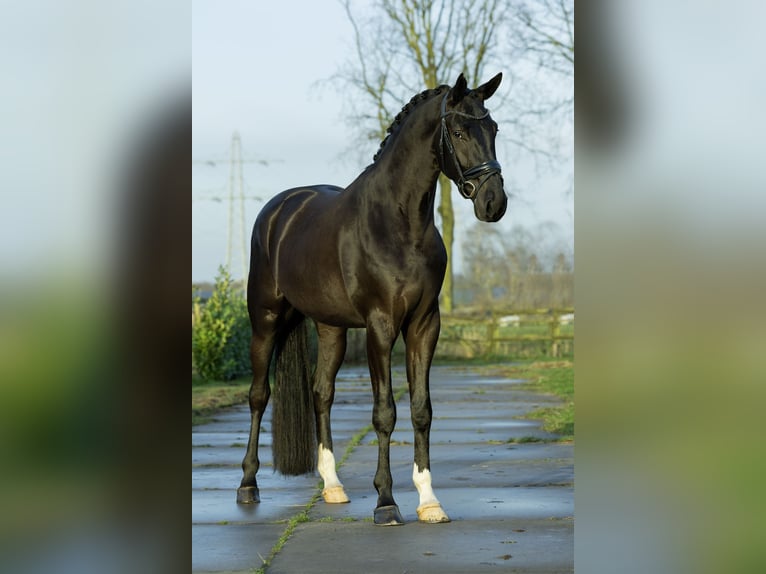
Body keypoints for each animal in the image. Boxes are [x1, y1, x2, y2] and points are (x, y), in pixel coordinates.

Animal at [237, 74, 508, 528]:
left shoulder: (424, 324)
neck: (399, 223)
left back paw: (333, 486)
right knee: (259, 395)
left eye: (494, 129)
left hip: (331, 328)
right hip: (266, 319)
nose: (494, 203)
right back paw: (247, 484)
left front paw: (429, 500)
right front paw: (386, 502)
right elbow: (385, 412)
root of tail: (279, 210)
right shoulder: (381, 325)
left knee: (321, 393)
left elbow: (421, 410)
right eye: (458, 132)